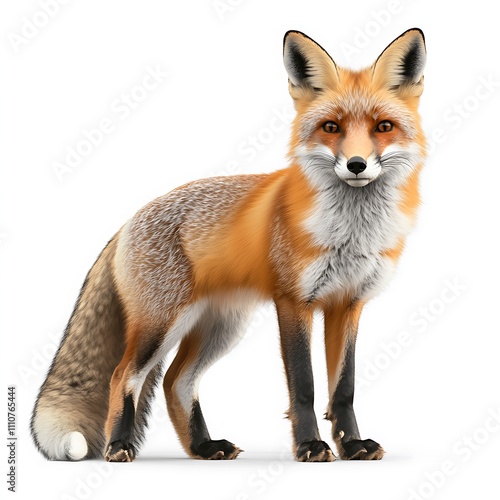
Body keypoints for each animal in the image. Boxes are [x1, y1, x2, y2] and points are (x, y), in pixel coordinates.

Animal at [31, 29, 426, 462]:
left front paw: (353, 445)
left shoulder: (348, 304)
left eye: (383, 126)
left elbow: (344, 388)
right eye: (331, 127)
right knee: (124, 375)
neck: (352, 233)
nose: (356, 165)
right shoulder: (294, 302)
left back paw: (204, 447)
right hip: (161, 324)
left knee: (175, 382)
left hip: (220, 327)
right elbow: (304, 386)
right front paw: (310, 445)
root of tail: (128, 222)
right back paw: (119, 444)